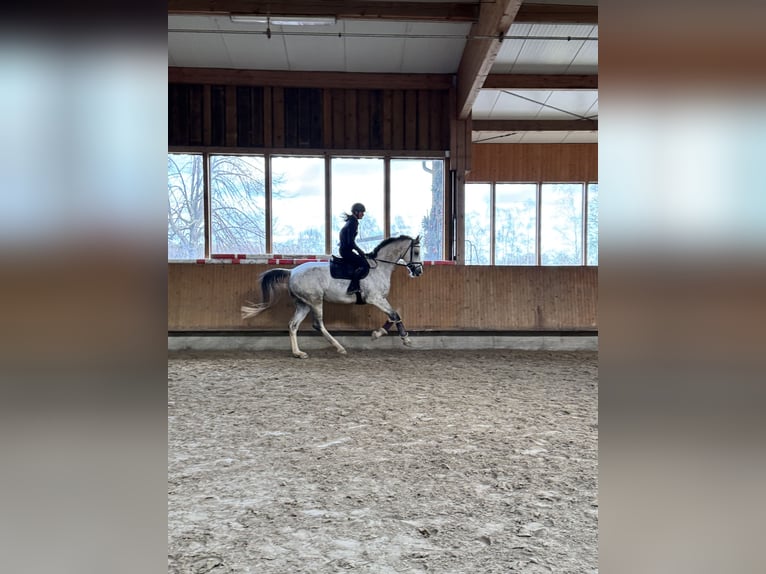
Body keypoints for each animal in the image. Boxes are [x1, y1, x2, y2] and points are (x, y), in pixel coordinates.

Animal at [242, 236, 426, 358]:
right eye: (416, 251)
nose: (418, 271)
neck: (379, 267)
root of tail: (292, 271)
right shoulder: (375, 298)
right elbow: (394, 313)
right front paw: (405, 339)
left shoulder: (380, 299)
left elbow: (392, 315)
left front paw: (378, 333)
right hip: (315, 301)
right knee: (318, 324)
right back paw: (339, 348)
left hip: (304, 304)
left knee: (293, 325)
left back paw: (298, 353)